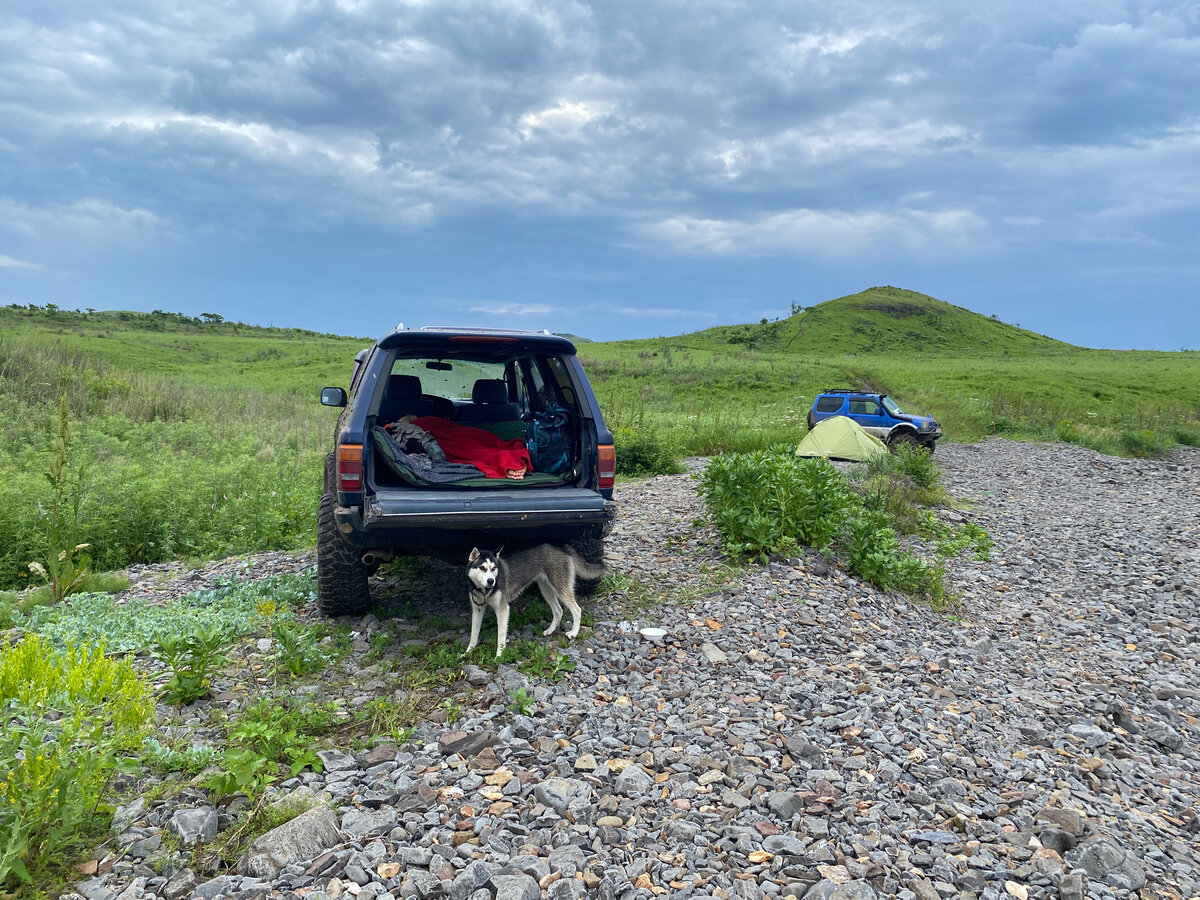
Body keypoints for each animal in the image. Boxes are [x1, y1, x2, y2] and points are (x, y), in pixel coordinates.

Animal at [463, 547, 604, 657]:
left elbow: (501, 637)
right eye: (482, 567)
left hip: (560, 588)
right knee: (558, 610)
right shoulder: (477, 610)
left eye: (493, 569)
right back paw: (550, 630)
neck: (483, 591)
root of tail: (561, 548)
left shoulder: (502, 609)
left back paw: (574, 632)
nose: (491, 581)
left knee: (577, 610)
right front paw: (468, 652)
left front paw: (499, 656)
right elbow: (474, 634)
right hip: (545, 589)